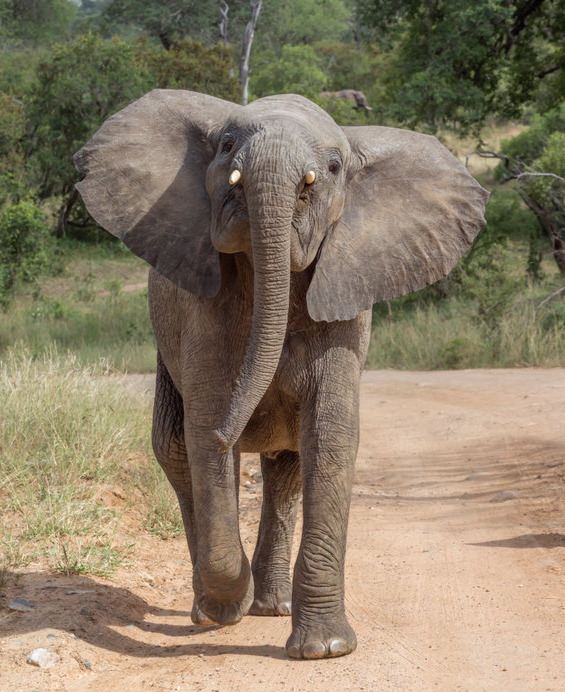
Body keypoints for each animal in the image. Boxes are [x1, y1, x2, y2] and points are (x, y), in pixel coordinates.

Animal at [74, 90, 490, 660]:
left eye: (334, 168)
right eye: (226, 145)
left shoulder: (345, 303)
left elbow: (330, 437)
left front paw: (325, 649)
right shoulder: (201, 312)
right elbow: (205, 434)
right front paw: (228, 604)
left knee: (286, 465)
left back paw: (271, 607)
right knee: (176, 448)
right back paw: (214, 609)